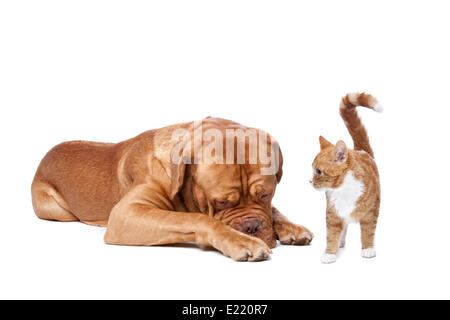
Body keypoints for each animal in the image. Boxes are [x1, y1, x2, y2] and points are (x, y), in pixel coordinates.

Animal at [31, 117, 312, 260]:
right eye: (221, 202)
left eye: (266, 194)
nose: (252, 227)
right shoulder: (126, 214)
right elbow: (199, 219)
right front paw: (242, 241)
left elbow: (275, 211)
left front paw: (291, 227)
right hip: (55, 209)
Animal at [312, 92, 382, 262]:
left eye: (318, 171)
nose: (309, 181)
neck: (343, 190)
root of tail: (360, 150)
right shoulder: (332, 213)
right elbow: (331, 234)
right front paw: (330, 253)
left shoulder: (371, 212)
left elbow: (368, 231)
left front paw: (368, 248)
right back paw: (340, 242)